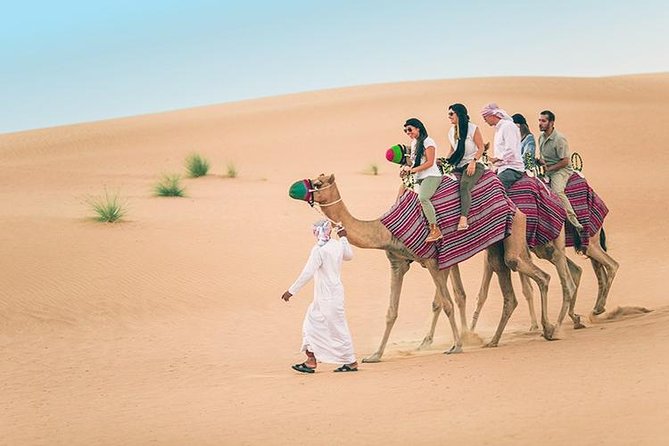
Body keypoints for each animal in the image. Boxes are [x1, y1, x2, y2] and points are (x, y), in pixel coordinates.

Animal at [296, 173, 554, 362]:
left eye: (317, 183)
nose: (297, 189)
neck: (385, 230)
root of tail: (509, 199)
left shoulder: (432, 261)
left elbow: (447, 304)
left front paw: (457, 346)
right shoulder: (398, 263)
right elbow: (392, 311)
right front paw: (375, 355)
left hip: (514, 232)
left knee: (536, 273)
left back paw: (549, 328)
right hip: (496, 246)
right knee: (511, 286)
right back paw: (498, 339)